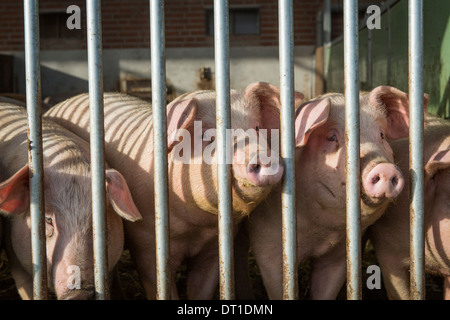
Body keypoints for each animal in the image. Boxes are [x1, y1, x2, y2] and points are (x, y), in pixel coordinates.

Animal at [244, 85, 428, 300]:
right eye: (331, 137)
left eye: (381, 135)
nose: (385, 168)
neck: (318, 232)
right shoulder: (268, 245)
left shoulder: (338, 255)